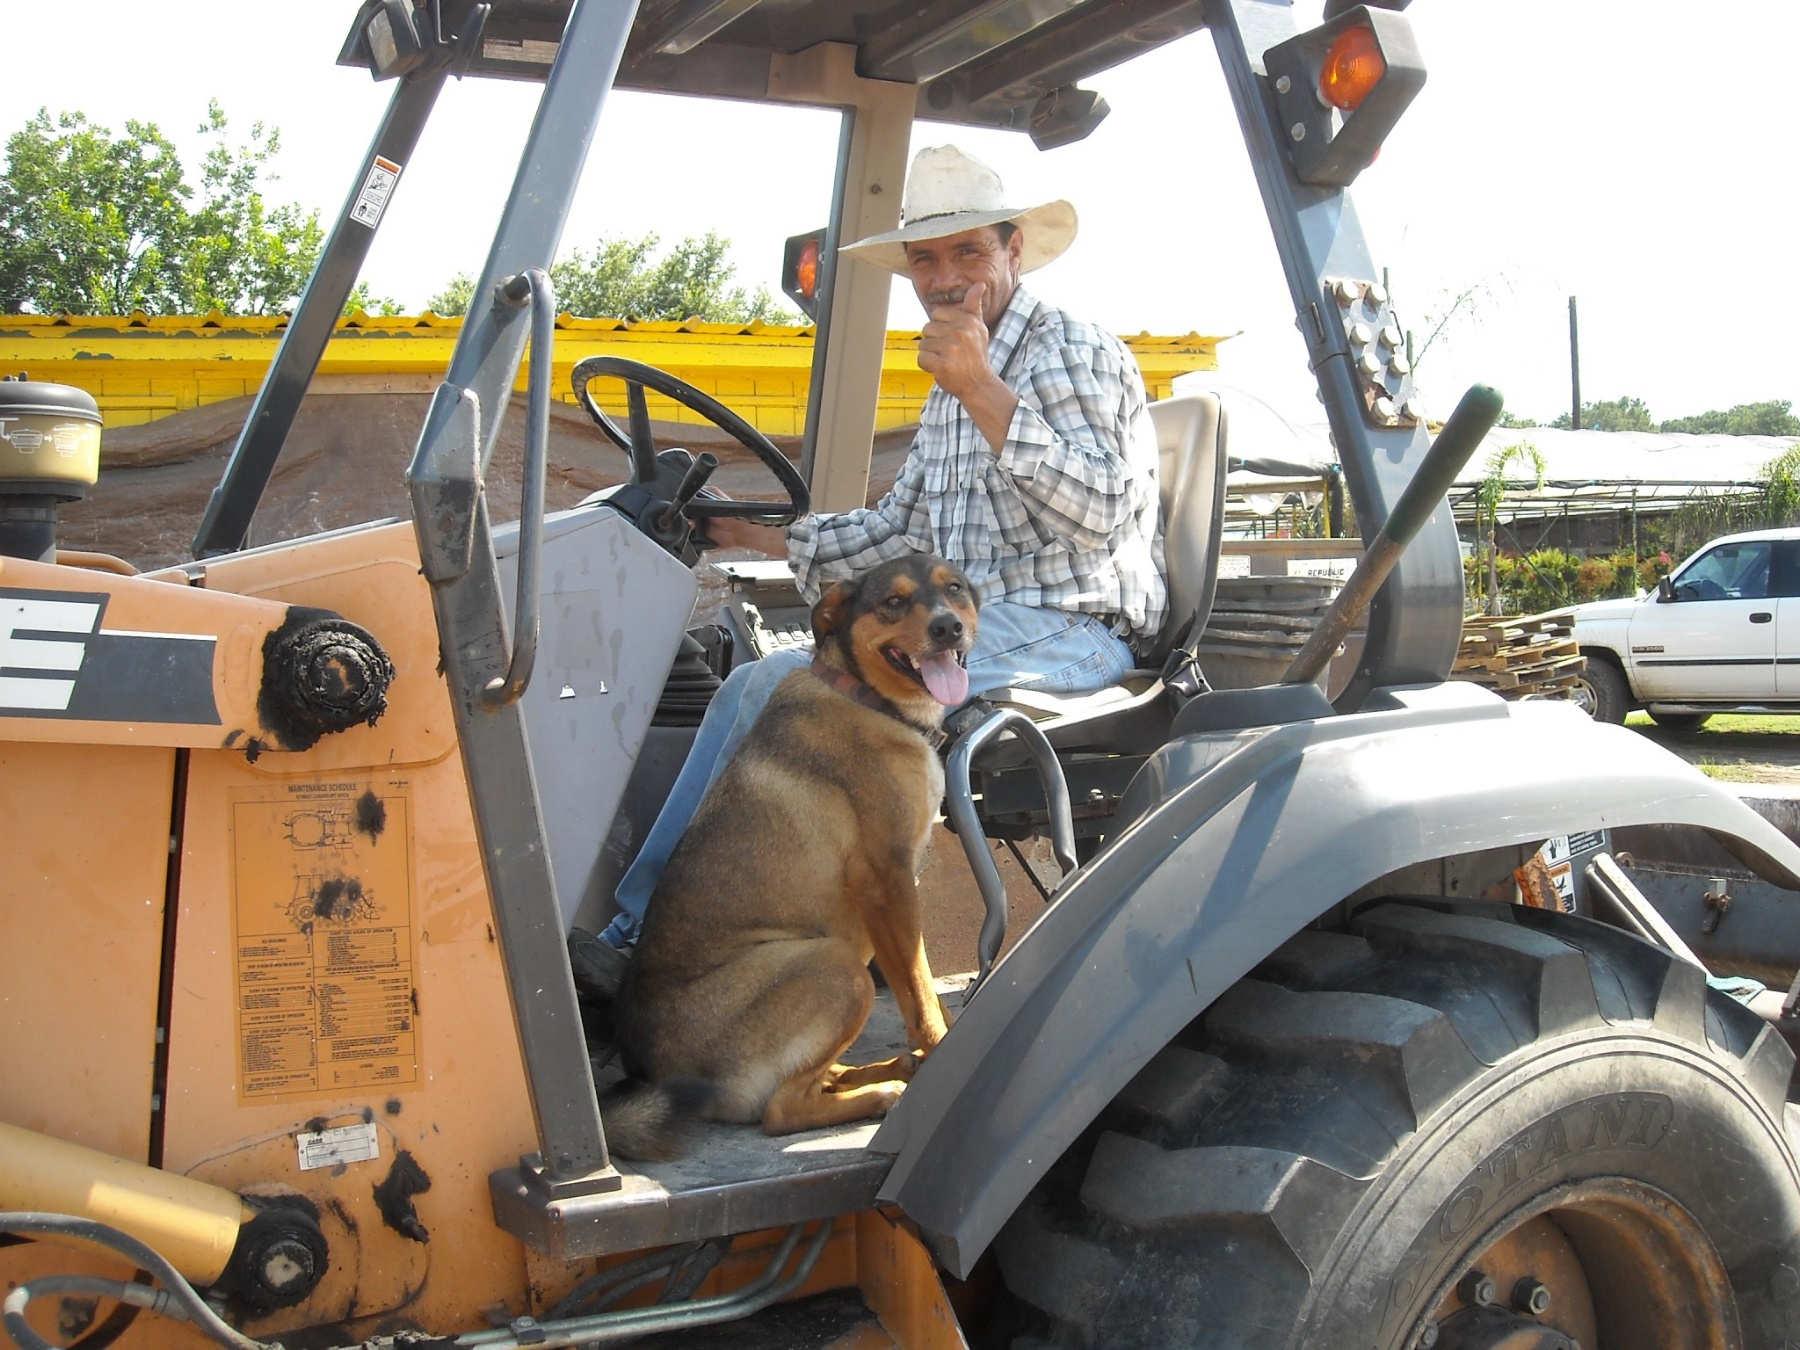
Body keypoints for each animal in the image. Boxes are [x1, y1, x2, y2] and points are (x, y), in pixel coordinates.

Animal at [604, 554, 979, 1159]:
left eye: (956, 589)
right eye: (893, 602)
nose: (948, 628)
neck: (866, 697)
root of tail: (657, 1077)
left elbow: (919, 982)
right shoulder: (888, 879)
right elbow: (920, 992)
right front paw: (943, 1052)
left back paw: (878, 1072)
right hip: (836, 967)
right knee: (781, 1111)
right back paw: (883, 1090)